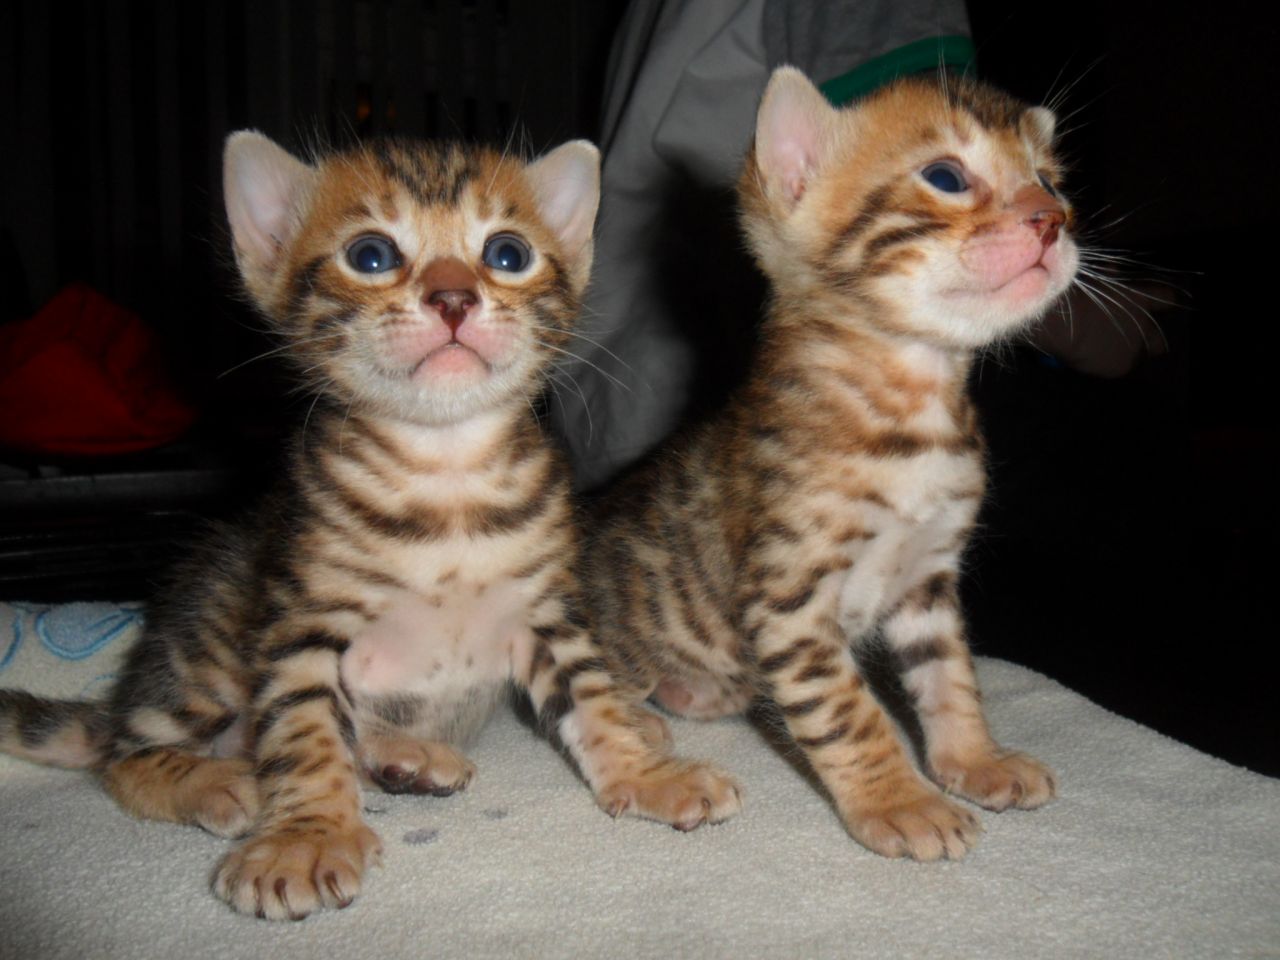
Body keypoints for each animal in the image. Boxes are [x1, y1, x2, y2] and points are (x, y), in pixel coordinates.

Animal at [0, 131, 742, 921]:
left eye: (507, 253)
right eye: (372, 256)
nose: (453, 297)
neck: (446, 478)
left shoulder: (548, 612)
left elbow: (592, 695)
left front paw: (647, 773)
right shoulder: (303, 621)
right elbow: (305, 730)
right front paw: (306, 837)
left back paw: (404, 757)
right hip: (204, 653)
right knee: (123, 754)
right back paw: (219, 780)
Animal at [586, 67, 1075, 865]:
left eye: (1049, 180)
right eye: (946, 177)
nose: (1053, 219)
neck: (911, 416)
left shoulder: (928, 579)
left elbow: (950, 677)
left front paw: (975, 761)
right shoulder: (790, 598)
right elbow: (849, 711)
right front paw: (901, 801)